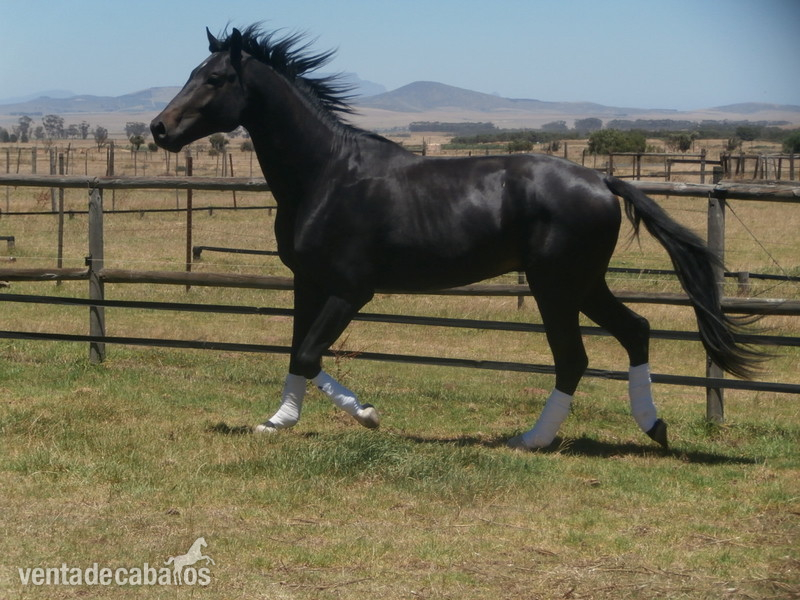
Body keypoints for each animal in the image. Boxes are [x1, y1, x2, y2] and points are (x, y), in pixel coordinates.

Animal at [151, 25, 760, 450]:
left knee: (574, 357)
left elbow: (307, 352)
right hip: (584, 283)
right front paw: (278, 421)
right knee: (636, 331)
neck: (327, 174)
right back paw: (652, 426)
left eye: (215, 79)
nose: (159, 129)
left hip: (556, 286)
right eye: (192, 71)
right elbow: (301, 354)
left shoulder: (350, 290)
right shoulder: (308, 282)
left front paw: (367, 416)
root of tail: (601, 179)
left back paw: (532, 439)